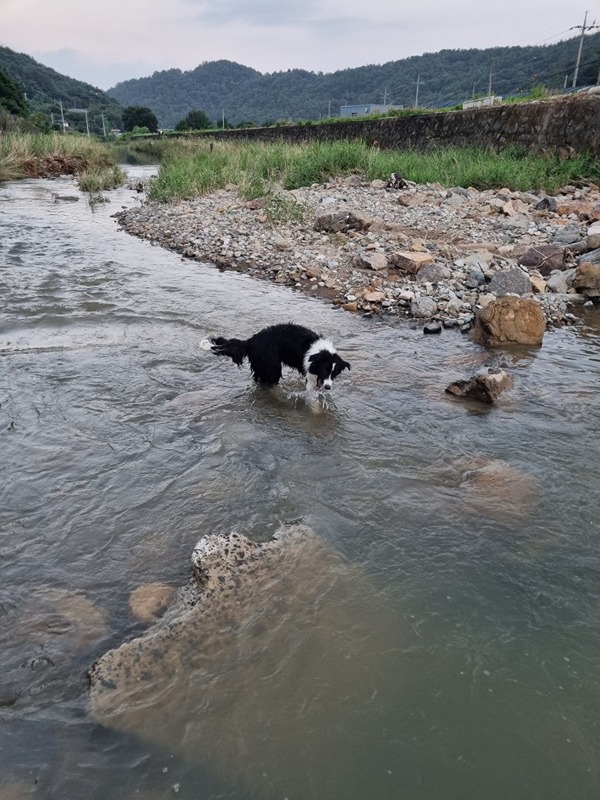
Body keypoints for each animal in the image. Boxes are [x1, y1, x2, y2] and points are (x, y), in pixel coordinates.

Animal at [200, 322, 350, 390]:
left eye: (334, 373)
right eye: (324, 369)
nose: (328, 387)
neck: (321, 351)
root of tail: (252, 340)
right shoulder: (311, 374)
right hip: (271, 366)